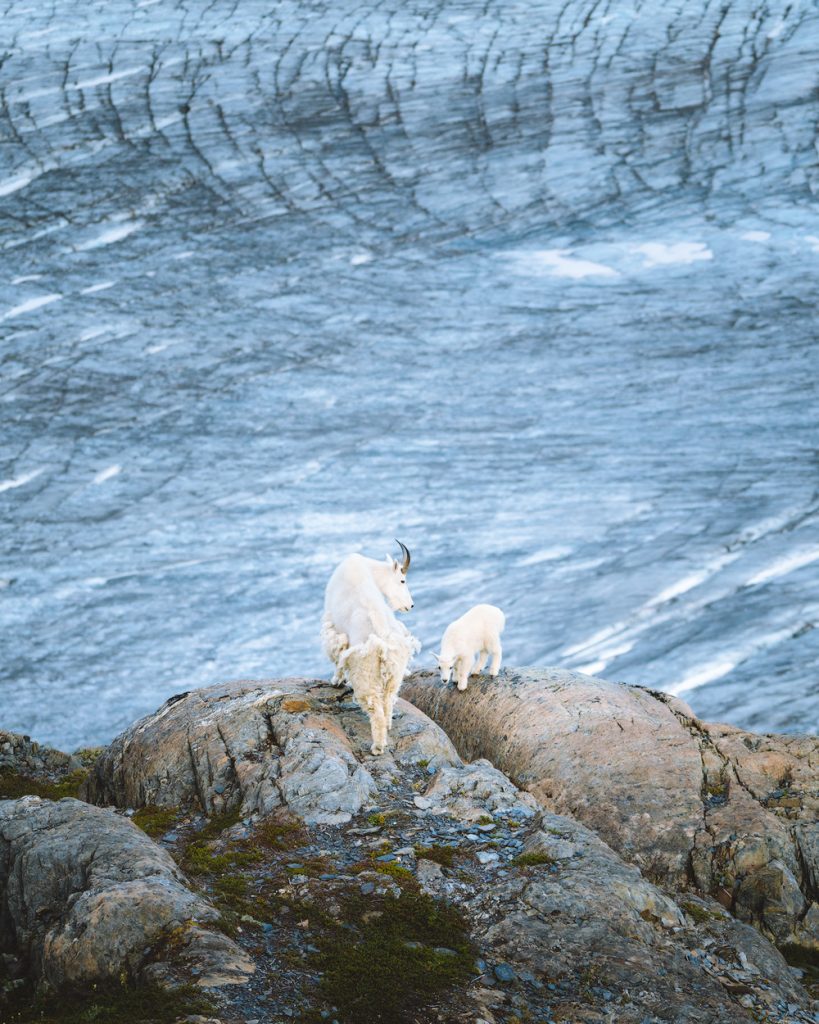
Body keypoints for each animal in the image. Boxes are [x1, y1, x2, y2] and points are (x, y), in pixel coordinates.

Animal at [319, 544, 419, 753]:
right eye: (402, 580)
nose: (410, 605)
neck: (368, 569)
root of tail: (384, 643)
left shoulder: (336, 628)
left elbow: (338, 656)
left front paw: (336, 681)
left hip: (365, 673)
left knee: (376, 710)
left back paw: (378, 747)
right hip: (394, 674)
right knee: (388, 701)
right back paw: (388, 728)